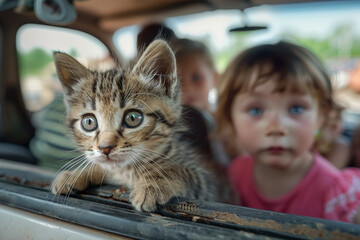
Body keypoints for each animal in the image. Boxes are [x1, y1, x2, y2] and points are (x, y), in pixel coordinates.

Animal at [49, 39, 215, 212]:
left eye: (133, 118)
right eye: (89, 122)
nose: (105, 148)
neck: (127, 170)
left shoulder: (204, 185)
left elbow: (179, 170)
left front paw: (154, 184)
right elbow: (101, 166)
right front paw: (76, 174)